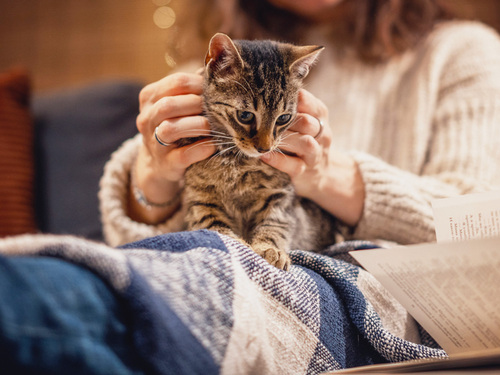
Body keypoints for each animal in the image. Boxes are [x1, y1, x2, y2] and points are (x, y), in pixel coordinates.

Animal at [184, 33, 340, 270]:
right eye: (245, 115)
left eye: (283, 118)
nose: (264, 148)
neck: (238, 161)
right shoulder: (199, 197)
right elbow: (212, 223)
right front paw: (237, 244)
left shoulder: (281, 194)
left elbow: (276, 222)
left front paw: (270, 248)